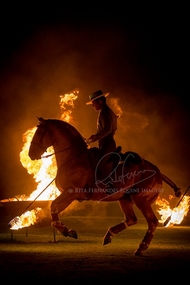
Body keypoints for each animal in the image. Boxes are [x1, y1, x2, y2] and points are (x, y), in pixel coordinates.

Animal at [28, 117, 181, 255]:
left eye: (39, 132)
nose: (30, 154)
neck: (73, 157)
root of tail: (157, 171)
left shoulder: (72, 192)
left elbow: (53, 207)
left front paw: (67, 231)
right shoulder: (69, 195)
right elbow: (54, 211)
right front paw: (68, 231)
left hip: (142, 200)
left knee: (152, 222)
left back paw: (141, 248)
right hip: (125, 199)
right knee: (131, 219)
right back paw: (109, 235)